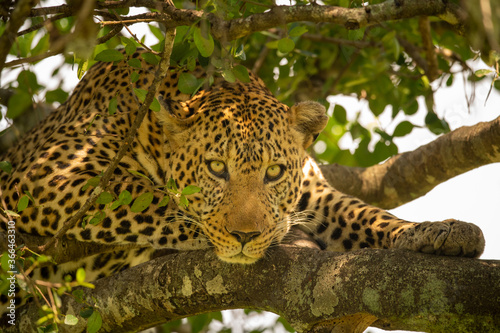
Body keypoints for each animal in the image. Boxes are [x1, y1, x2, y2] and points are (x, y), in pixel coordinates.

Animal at [0, 50, 484, 316]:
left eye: (274, 172)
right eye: (216, 167)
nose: (246, 236)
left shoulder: (313, 191)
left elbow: (365, 214)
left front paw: (438, 231)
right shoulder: (50, 173)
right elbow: (156, 201)